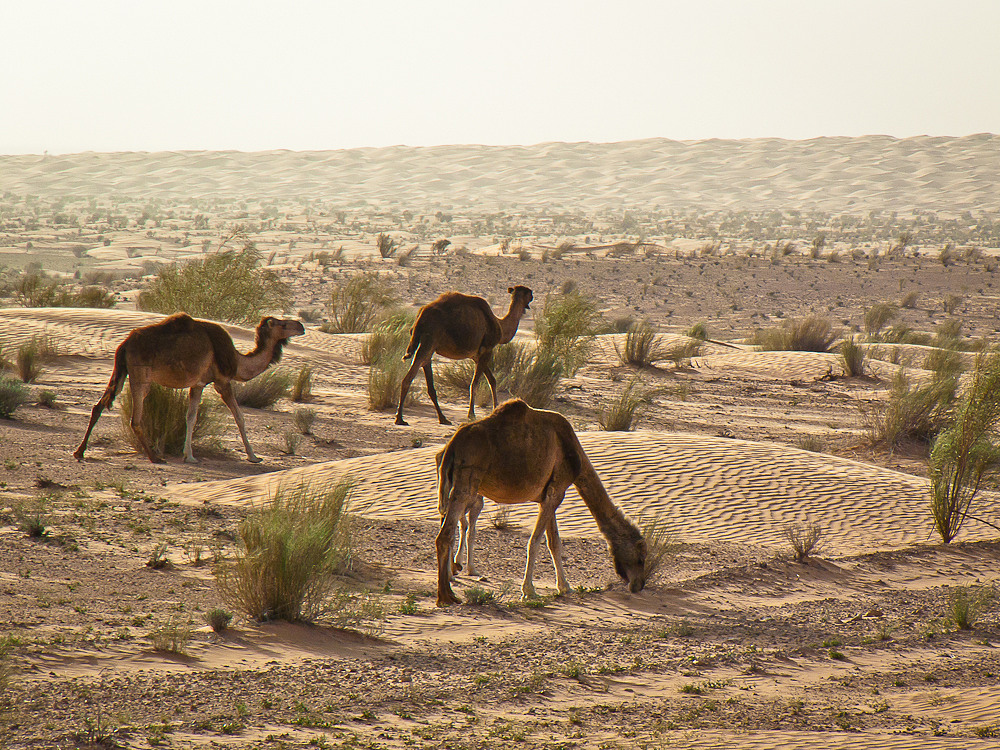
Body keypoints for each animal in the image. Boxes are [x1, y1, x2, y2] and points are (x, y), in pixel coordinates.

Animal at [74, 312, 304, 464]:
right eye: (283, 324)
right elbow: (239, 417)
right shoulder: (222, 381)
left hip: (121, 371)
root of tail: (125, 344)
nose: (301, 326)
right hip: (141, 376)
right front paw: (253, 456)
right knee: (135, 418)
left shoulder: (198, 384)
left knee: (99, 405)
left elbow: (191, 416)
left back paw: (80, 451)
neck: (239, 361)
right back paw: (155, 457)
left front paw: (189, 455)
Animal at [392, 284, 532, 426]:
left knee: (429, 381)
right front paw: (471, 415)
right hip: (428, 340)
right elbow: (475, 383)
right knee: (409, 377)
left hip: (429, 346)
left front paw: (495, 409)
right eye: (529, 293)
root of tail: (420, 316)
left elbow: (492, 380)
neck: (501, 326)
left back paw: (443, 418)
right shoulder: (487, 349)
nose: (532, 296)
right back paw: (400, 419)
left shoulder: (475, 355)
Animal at [438, 400, 648, 604]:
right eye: (640, 558)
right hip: (466, 481)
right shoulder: (557, 491)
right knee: (445, 534)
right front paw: (529, 591)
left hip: (449, 484)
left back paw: (451, 578)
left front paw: (564, 587)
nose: (639, 584)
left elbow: (554, 542)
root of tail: (451, 446)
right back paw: (446, 596)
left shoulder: (548, 496)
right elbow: (536, 541)